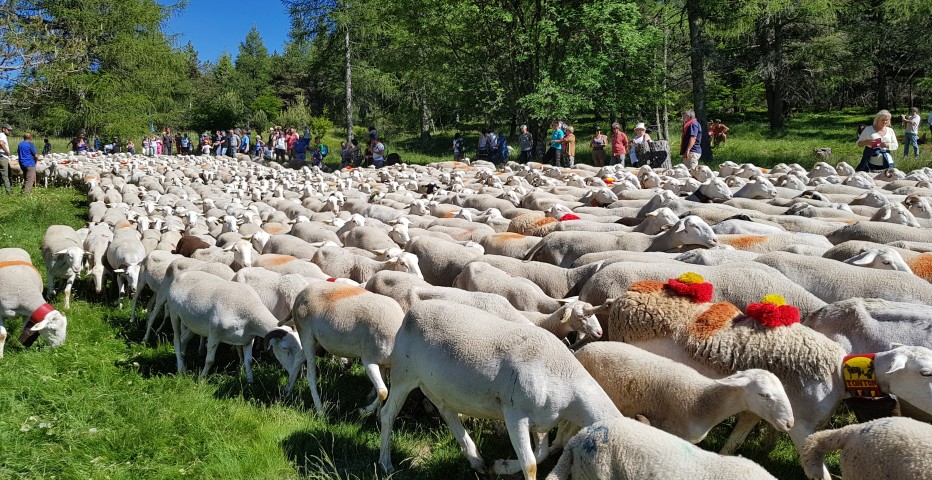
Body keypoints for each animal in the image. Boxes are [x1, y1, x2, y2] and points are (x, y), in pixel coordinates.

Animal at [374, 300, 624, 480]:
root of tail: (412, 311)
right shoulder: (515, 413)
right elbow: (530, 464)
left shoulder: (542, 421)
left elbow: (540, 454)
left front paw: (500, 466)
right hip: (404, 373)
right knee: (388, 414)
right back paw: (386, 464)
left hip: (436, 385)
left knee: (448, 414)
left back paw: (477, 460)